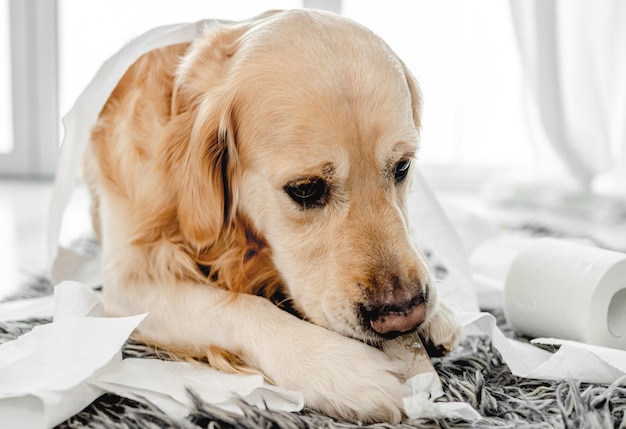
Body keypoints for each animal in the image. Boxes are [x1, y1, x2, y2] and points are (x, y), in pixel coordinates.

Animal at [83, 10, 460, 422]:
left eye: (403, 167)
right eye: (305, 189)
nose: (404, 315)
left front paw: (440, 314)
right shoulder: (127, 282)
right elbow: (236, 306)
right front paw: (341, 369)